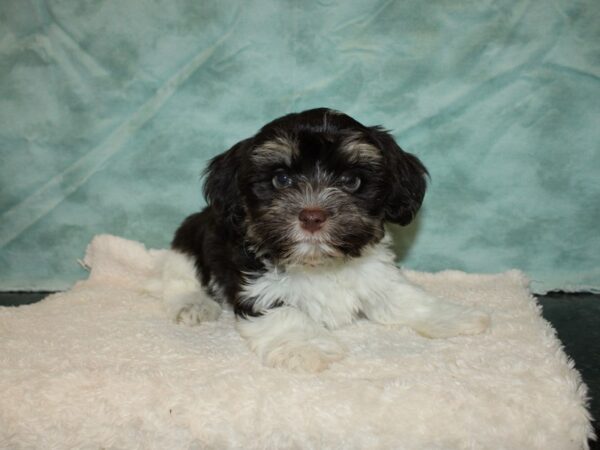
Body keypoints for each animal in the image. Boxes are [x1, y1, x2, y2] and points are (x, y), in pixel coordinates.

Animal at [163, 107, 488, 370]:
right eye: (281, 179)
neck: (318, 263)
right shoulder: (257, 288)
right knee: (179, 281)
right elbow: (286, 315)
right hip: (188, 247)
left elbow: (405, 297)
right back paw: (194, 306)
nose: (312, 216)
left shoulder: (377, 276)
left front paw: (454, 317)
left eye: (351, 181)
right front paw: (306, 347)